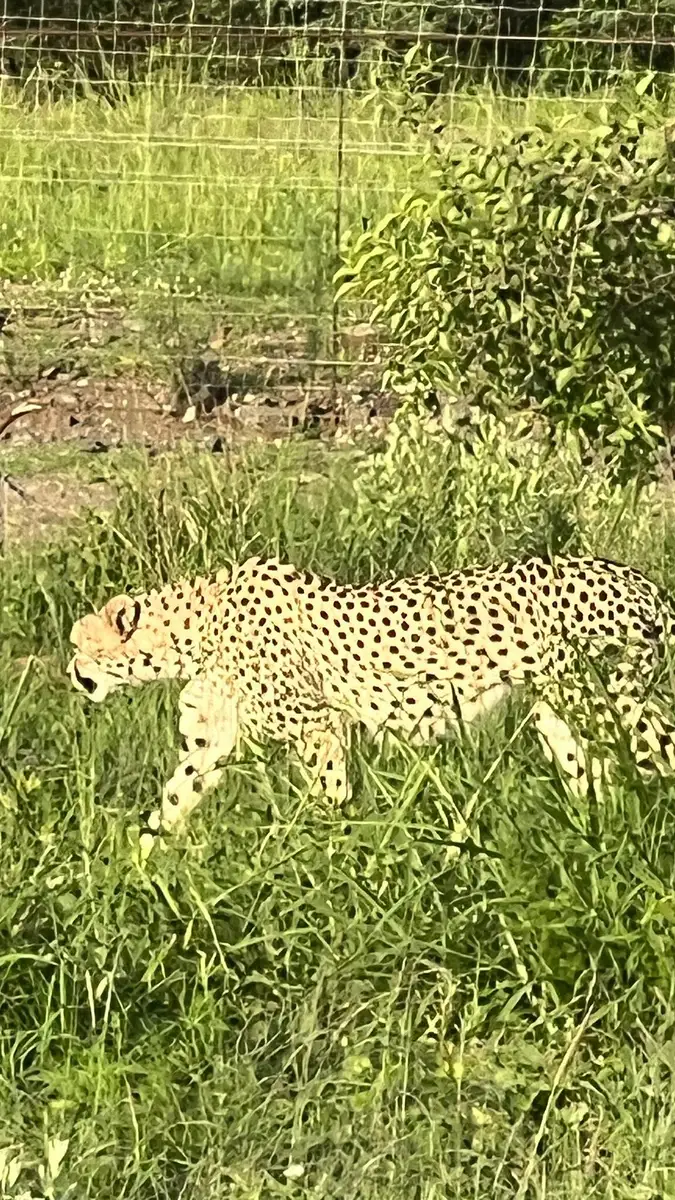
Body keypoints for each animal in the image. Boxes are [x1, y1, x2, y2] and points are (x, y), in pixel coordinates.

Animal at [65, 552, 672, 844]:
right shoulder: (213, 742)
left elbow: (329, 798)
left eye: (79, 644)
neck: (196, 626)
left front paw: (329, 856)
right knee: (595, 774)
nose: (70, 671)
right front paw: (137, 865)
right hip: (559, 710)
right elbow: (174, 798)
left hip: (609, 698)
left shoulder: (318, 726)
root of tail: (641, 578)